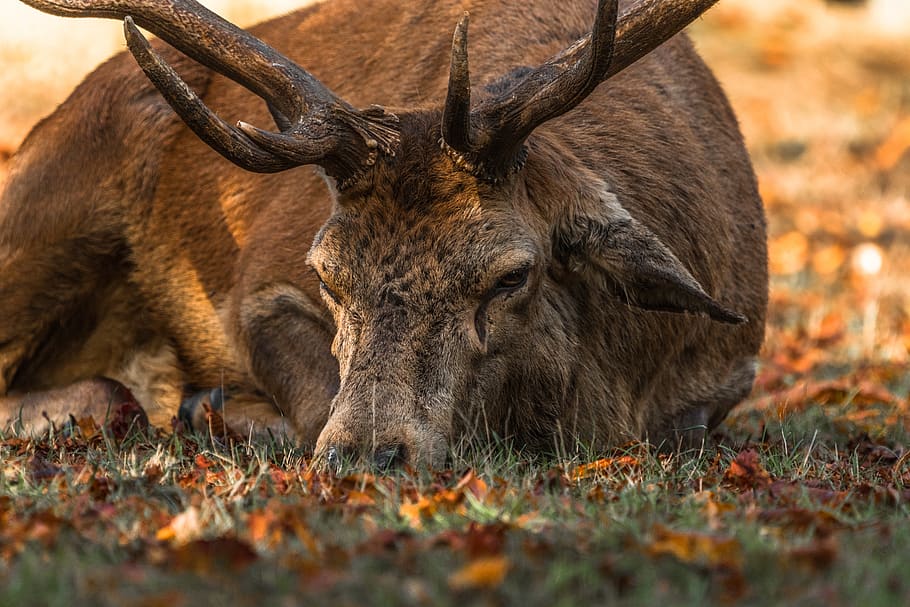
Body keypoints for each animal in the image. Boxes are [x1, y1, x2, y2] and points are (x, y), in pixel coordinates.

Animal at [0, 0, 767, 470]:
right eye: (325, 272)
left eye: (511, 274)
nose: (368, 454)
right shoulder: (258, 291)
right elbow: (309, 402)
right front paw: (223, 409)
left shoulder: (724, 374)